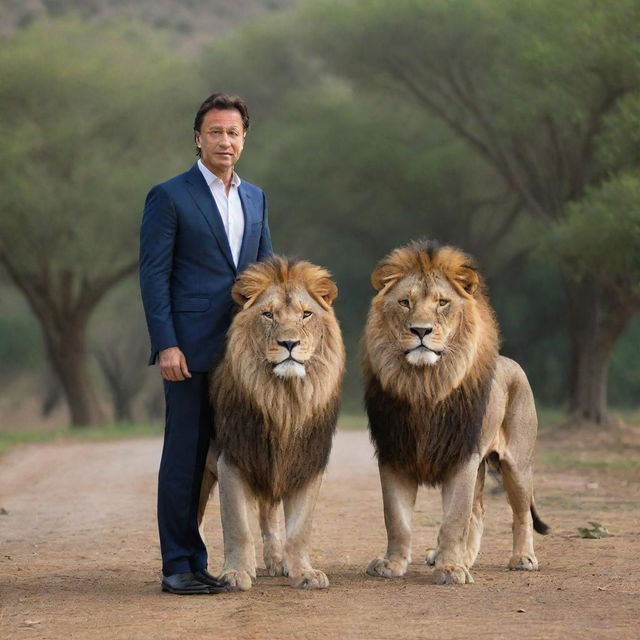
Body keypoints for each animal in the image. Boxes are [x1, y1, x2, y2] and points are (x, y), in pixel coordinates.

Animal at [199, 255, 344, 592]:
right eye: (267, 314)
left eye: (306, 314)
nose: (289, 343)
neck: (284, 399)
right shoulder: (233, 458)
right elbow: (237, 525)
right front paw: (235, 573)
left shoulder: (307, 461)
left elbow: (299, 529)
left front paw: (304, 572)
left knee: (269, 515)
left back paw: (277, 561)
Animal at [362, 239, 548, 584]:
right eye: (405, 302)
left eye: (443, 303)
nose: (421, 330)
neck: (424, 384)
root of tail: (511, 362)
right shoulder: (393, 453)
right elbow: (396, 519)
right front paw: (392, 565)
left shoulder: (462, 456)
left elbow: (454, 520)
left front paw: (450, 568)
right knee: (478, 513)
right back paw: (463, 559)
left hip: (516, 464)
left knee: (520, 514)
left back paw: (522, 558)